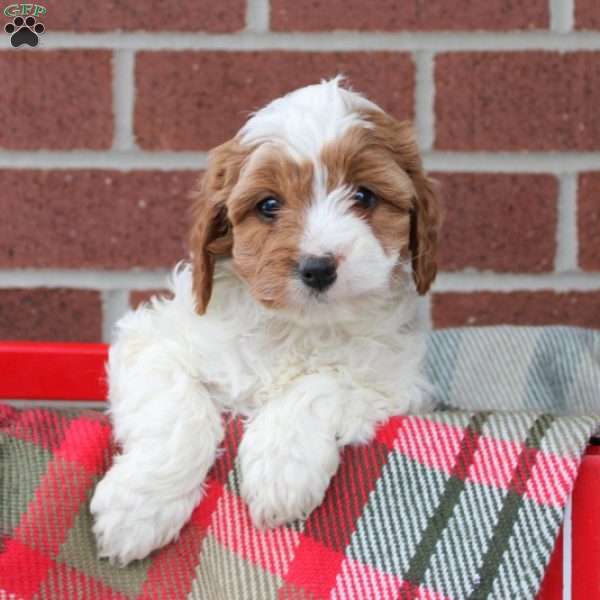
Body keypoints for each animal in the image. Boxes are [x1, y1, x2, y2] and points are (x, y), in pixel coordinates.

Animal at [92, 75, 440, 564]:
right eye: (269, 205)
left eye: (364, 196)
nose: (317, 268)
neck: (296, 326)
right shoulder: (153, 340)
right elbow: (178, 410)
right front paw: (138, 508)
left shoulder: (395, 381)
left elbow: (320, 384)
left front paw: (280, 470)